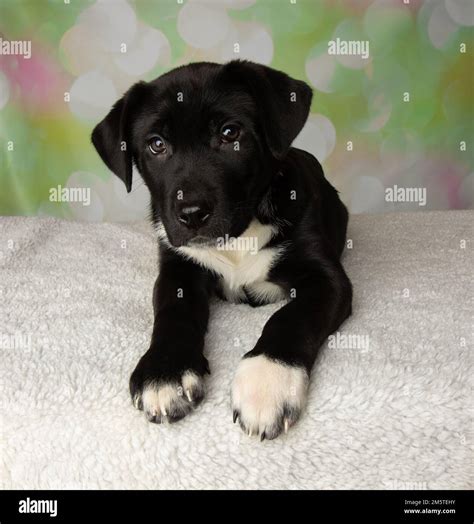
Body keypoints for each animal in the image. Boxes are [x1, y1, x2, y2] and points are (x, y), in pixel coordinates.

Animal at [91, 59, 352, 440]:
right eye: (156, 144)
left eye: (230, 134)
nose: (191, 213)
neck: (238, 236)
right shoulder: (177, 268)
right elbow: (173, 311)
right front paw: (164, 370)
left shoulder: (326, 278)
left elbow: (292, 316)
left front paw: (267, 379)